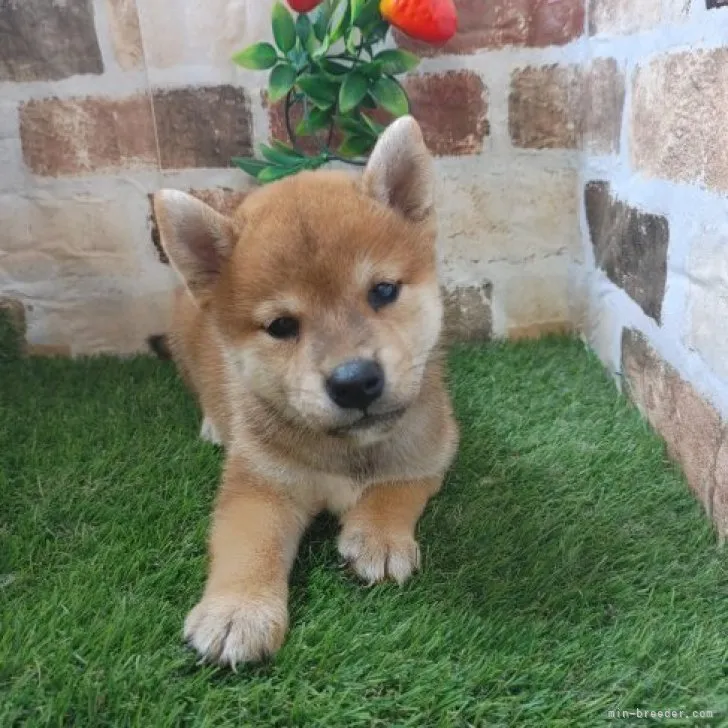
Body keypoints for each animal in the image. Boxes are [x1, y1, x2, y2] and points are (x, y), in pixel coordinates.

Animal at [151, 116, 458, 668]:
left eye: (383, 291)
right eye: (281, 326)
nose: (354, 381)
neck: (347, 453)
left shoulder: (429, 454)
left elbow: (395, 489)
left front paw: (377, 535)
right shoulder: (260, 484)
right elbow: (249, 545)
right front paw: (238, 610)